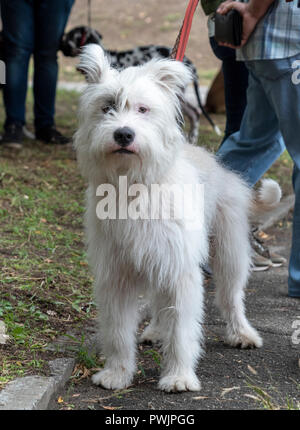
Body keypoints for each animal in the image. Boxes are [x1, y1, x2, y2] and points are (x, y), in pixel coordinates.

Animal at [75, 43, 282, 394]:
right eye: (108, 107)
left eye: (143, 109)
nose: (123, 134)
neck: (135, 186)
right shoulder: (117, 276)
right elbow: (117, 332)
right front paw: (117, 373)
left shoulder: (180, 272)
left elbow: (182, 331)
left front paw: (179, 376)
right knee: (161, 306)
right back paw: (156, 330)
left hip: (228, 254)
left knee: (231, 297)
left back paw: (242, 333)